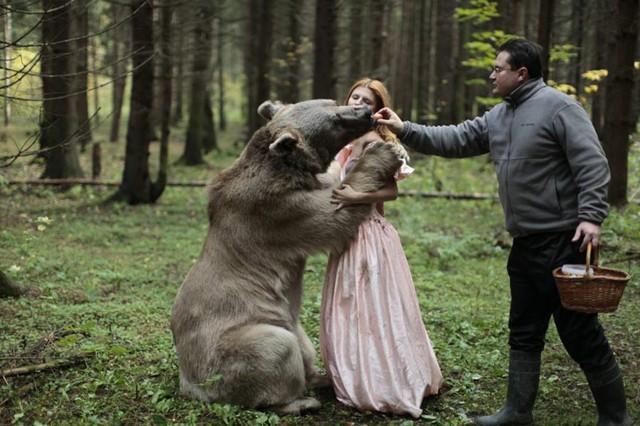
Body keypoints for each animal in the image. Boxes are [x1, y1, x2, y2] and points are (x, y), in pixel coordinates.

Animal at [169, 98, 400, 414]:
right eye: (335, 120)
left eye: (333, 102)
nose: (365, 113)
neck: (281, 166)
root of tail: (189, 383)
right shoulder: (278, 208)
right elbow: (333, 211)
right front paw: (383, 152)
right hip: (228, 349)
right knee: (276, 348)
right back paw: (301, 400)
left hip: (289, 323)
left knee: (304, 345)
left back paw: (320, 378)